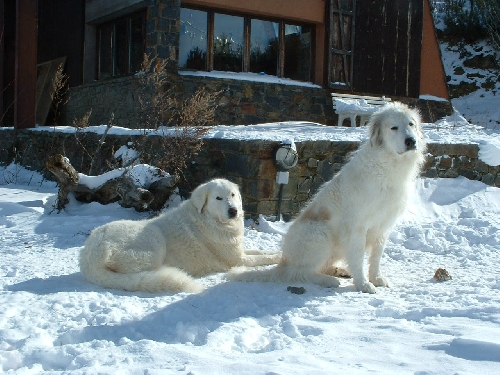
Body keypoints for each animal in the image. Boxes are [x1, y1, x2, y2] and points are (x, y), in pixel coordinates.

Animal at [80, 179, 280, 294]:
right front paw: (279, 258)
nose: (233, 211)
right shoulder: (237, 260)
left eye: (233, 195)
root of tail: (89, 258)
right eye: (218, 198)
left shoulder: (240, 252)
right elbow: (263, 258)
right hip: (154, 238)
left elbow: (261, 252)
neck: (209, 220)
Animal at [233, 103, 426, 294]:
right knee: (299, 273)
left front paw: (376, 278)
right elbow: (358, 259)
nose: (411, 141)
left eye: (411, 124)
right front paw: (363, 284)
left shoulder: (383, 227)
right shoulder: (357, 227)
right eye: (394, 127)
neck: (388, 165)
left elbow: (375, 258)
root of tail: (284, 262)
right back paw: (328, 280)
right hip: (320, 233)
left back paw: (338, 270)